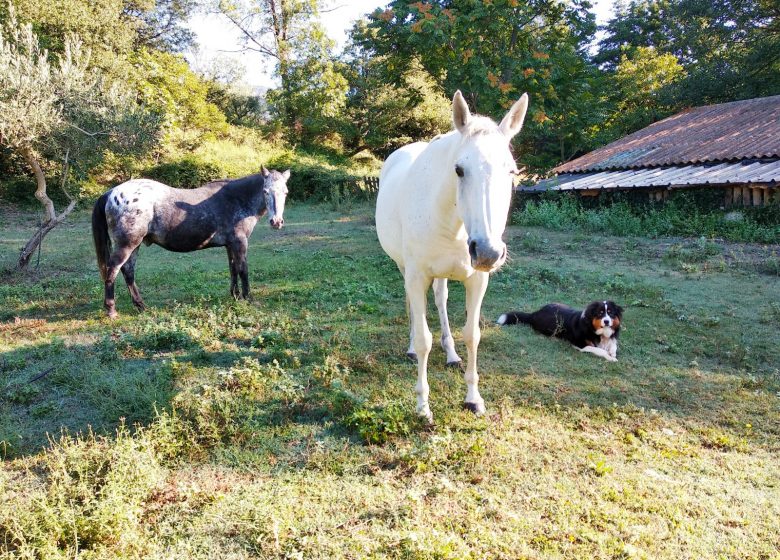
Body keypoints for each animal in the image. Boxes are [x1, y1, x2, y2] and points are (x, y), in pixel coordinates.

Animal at [89, 166, 290, 318]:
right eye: (265, 191)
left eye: (285, 192)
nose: (276, 222)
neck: (237, 199)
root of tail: (111, 193)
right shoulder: (240, 243)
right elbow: (243, 270)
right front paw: (247, 298)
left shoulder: (230, 245)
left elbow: (233, 269)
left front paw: (235, 296)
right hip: (127, 245)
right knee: (113, 270)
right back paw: (111, 310)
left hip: (135, 245)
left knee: (128, 271)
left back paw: (141, 306)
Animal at [374, 89, 528, 420]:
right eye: (459, 169)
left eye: (511, 170)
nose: (488, 252)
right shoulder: (417, 275)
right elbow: (423, 339)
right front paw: (422, 407)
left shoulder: (477, 281)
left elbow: (472, 334)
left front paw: (473, 398)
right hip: (405, 268)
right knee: (413, 308)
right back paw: (411, 348)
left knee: (441, 301)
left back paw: (452, 354)